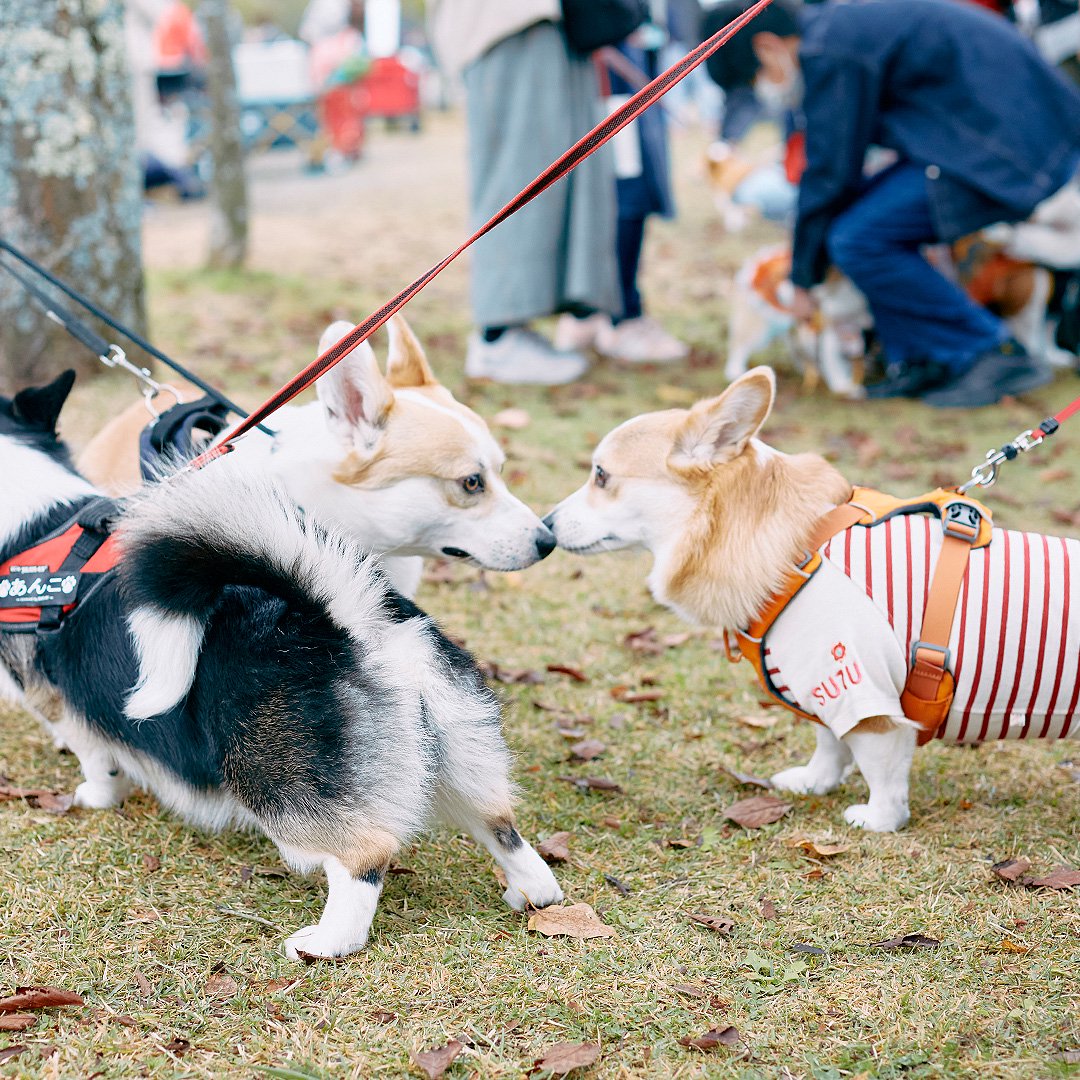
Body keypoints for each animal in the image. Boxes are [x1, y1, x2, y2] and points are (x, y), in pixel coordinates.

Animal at [0, 375, 557, 959]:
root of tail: (351, 621)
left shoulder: (55, 702)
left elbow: (96, 760)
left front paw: (94, 797)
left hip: (277, 786)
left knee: (363, 858)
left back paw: (327, 942)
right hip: (461, 758)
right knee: (502, 828)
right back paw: (531, 893)